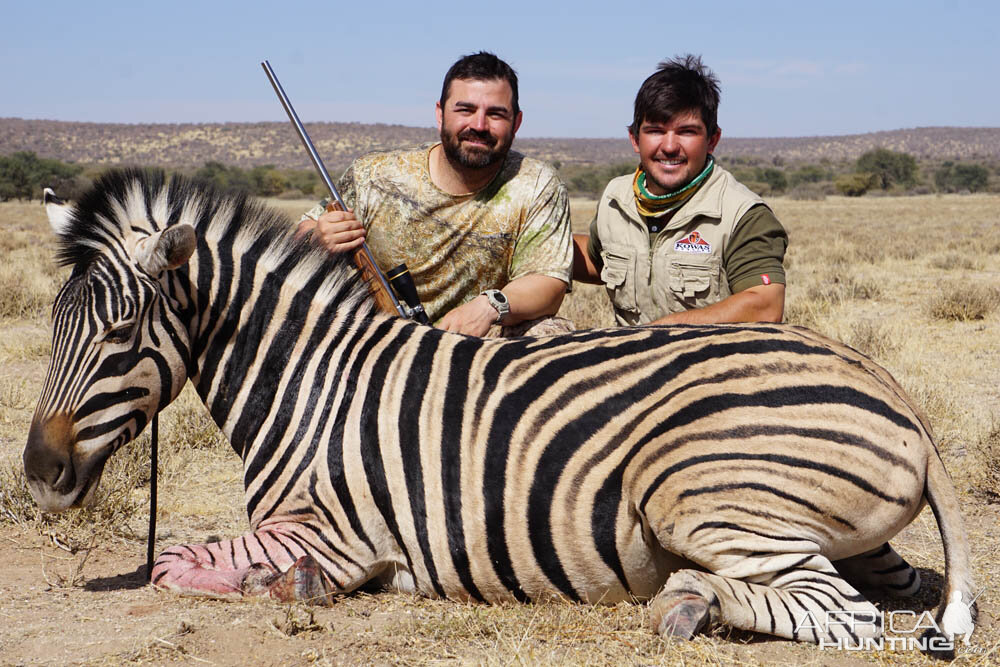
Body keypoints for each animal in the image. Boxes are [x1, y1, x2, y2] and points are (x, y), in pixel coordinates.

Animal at [23, 170, 976, 648]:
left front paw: (281, 585)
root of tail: (897, 396)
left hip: (699, 489)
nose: (37, 472)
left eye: (119, 332)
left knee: (845, 614)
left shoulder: (332, 530)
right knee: (889, 587)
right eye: (53, 321)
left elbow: (173, 563)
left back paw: (687, 603)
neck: (312, 379)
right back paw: (697, 595)